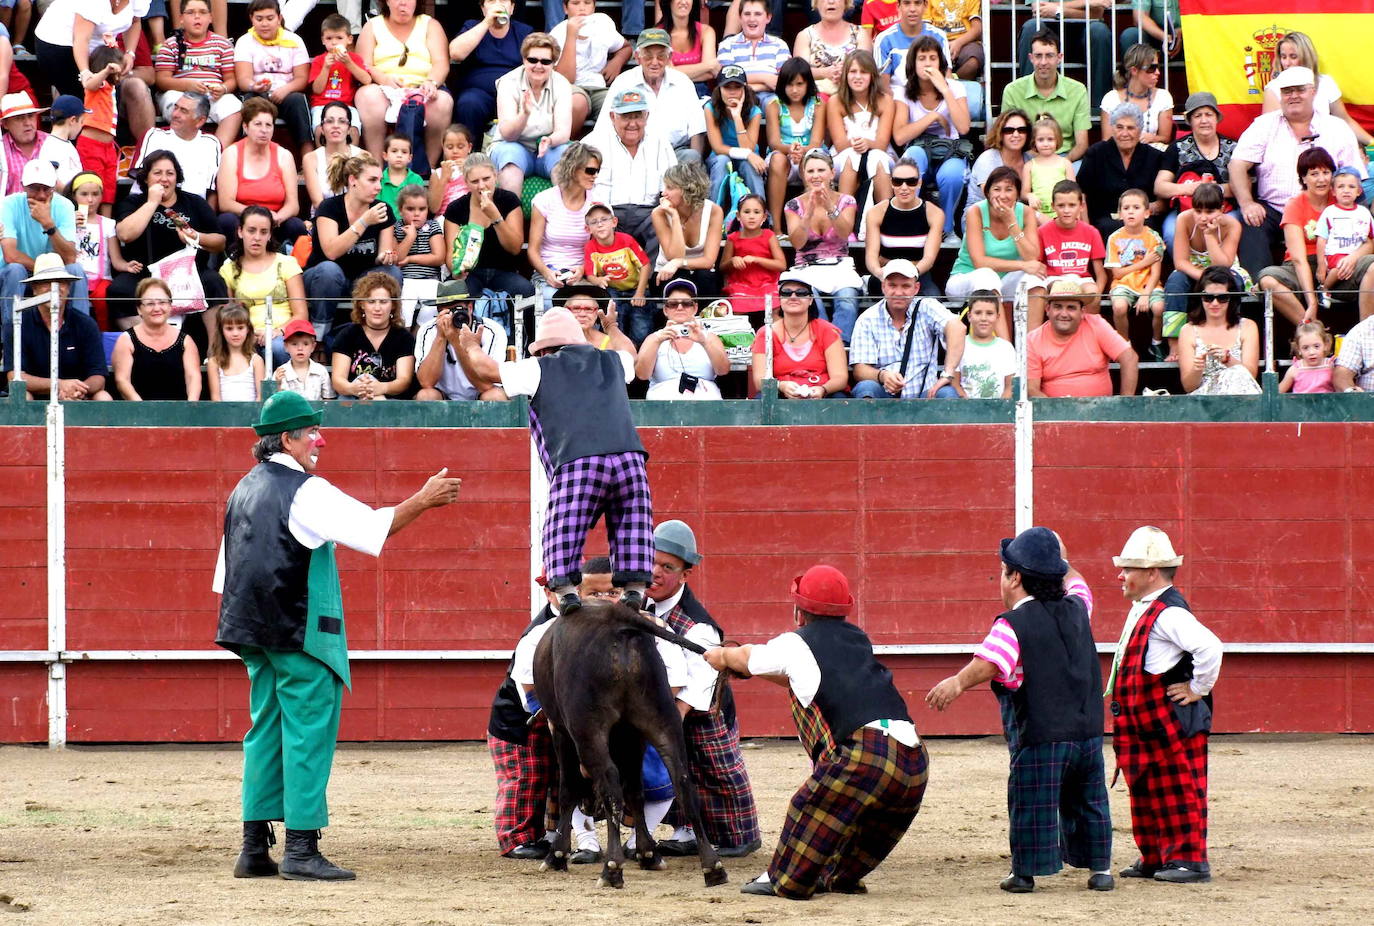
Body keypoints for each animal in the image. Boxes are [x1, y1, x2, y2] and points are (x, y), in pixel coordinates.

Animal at [530, 599, 730, 884]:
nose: (589, 809)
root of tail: (617, 617)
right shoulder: (634, 737)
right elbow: (635, 790)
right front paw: (649, 854)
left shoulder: (560, 730)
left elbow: (568, 789)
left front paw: (557, 855)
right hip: (661, 717)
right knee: (682, 781)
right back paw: (712, 867)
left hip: (588, 728)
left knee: (611, 783)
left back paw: (612, 868)